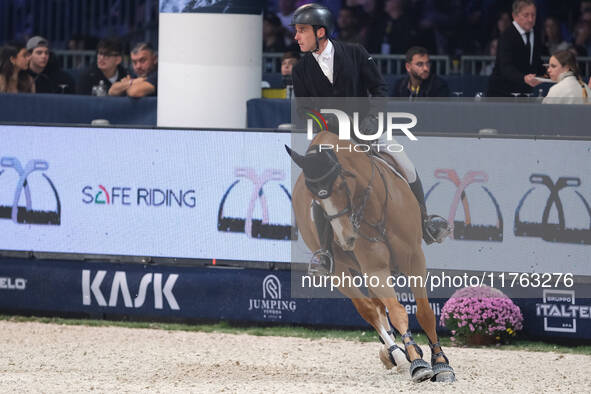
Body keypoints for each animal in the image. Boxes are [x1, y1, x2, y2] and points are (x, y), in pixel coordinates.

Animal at [290, 131, 456, 384]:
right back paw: (398, 356)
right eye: (314, 196)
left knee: (378, 306)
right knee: (369, 309)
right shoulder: (375, 268)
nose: (345, 238)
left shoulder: (415, 258)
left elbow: (425, 312)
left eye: (341, 185)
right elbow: (397, 312)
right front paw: (417, 364)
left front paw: (440, 363)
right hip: (340, 271)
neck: (375, 208)